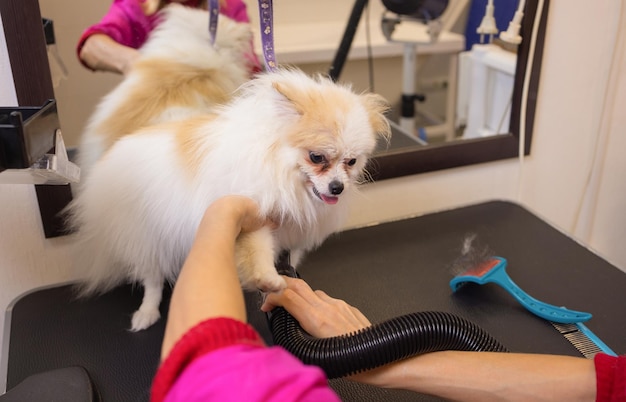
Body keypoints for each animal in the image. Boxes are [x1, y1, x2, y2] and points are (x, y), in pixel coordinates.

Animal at [68, 3, 390, 332]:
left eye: (352, 162)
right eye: (316, 157)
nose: (337, 187)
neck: (281, 173)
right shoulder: (252, 214)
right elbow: (256, 251)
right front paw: (269, 280)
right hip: (146, 237)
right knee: (152, 278)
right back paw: (147, 312)